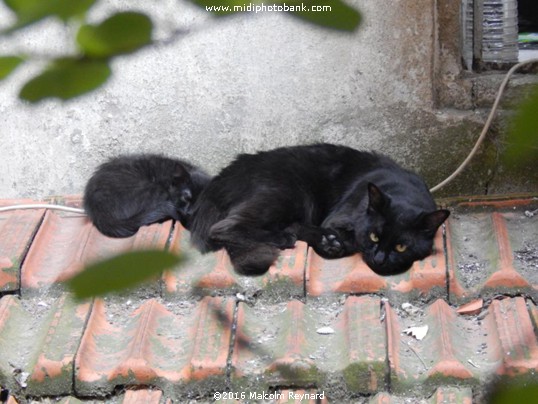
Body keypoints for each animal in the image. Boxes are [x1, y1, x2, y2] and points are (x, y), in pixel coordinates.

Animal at [189, 143, 448, 278]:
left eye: (401, 247)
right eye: (374, 236)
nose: (380, 259)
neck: (403, 190)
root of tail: (220, 180)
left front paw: (330, 242)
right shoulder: (338, 218)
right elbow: (353, 239)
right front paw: (331, 243)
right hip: (290, 193)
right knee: (223, 227)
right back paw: (284, 237)